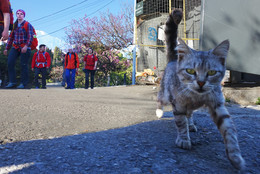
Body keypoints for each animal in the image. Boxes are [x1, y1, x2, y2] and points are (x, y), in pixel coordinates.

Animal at [156, 9, 246, 170]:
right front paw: (183, 139)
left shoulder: (218, 105)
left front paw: (235, 156)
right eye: (190, 71)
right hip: (165, 94)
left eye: (212, 72)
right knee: (160, 100)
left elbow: (229, 130)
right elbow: (180, 122)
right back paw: (159, 112)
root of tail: (174, 60)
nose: (201, 82)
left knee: (189, 114)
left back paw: (191, 124)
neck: (196, 97)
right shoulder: (178, 104)